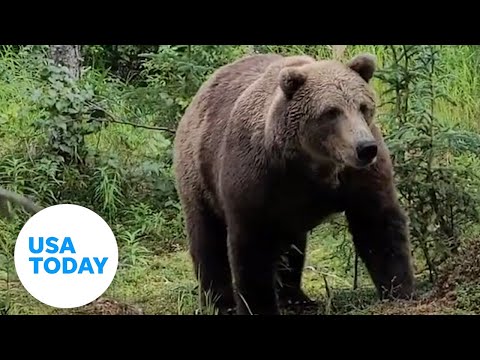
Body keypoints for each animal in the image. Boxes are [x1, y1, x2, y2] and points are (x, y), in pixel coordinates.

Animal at [173, 50, 416, 316]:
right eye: (331, 111)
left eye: (363, 107)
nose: (365, 148)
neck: (311, 166)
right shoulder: (256, 180)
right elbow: (251, 248)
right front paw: (258, 306)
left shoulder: (358, 178)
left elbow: (378, 225)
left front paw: (399, 290)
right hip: (199, 177)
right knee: (207, 241)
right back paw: (218, 302)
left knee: (291, 249)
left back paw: (297, 297)